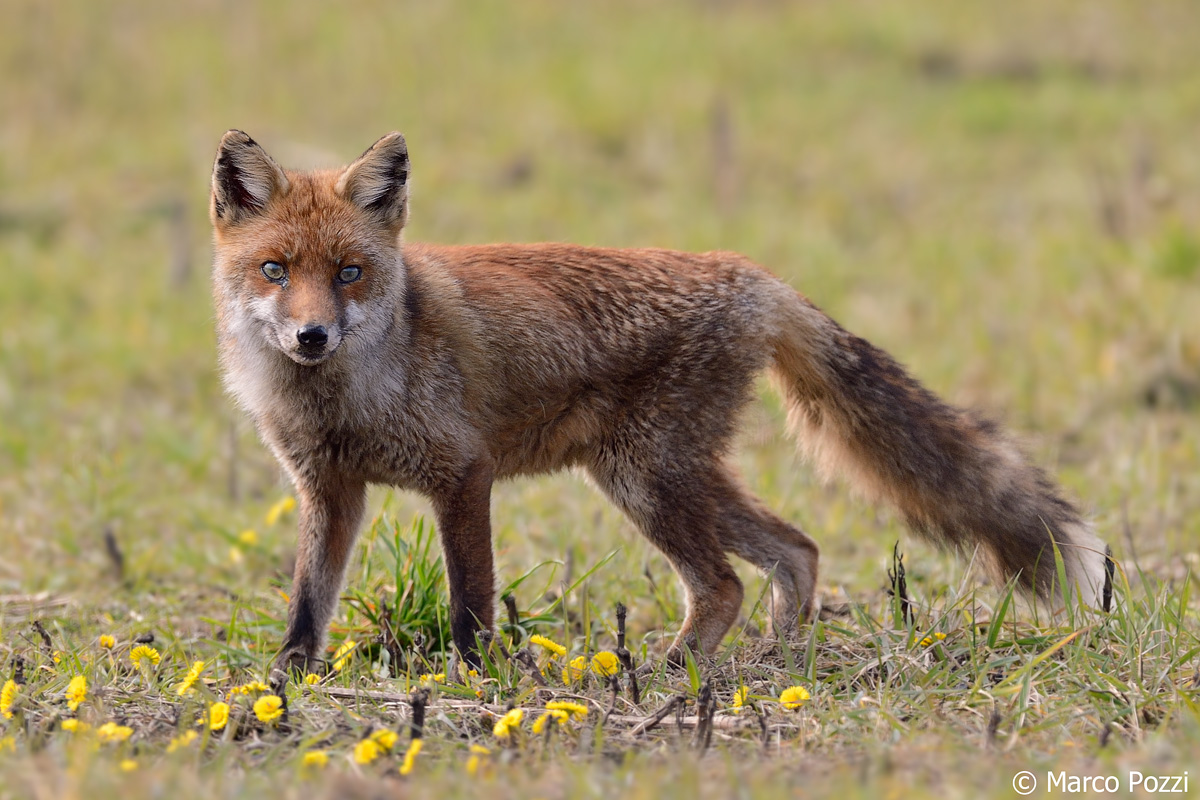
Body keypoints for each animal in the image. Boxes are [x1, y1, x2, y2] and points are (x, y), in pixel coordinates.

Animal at [210, 130, 1114, 675]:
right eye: (276, 271)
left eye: (351, 272)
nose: (312, 336)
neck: (341, 402)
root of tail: (748, 272)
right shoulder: (330, 490)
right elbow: (307, 603)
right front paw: (285, 687)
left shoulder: (463, 476)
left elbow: (470, 605)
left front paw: (475, 683)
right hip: (671, 475)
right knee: (797, 550)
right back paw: (773, 664)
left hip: (645, 478)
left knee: (724, 584)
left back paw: (670, 678)